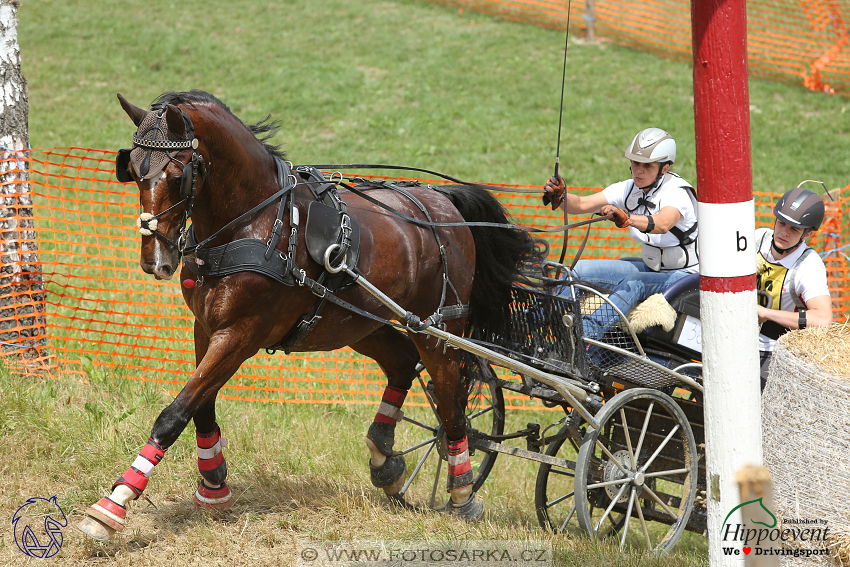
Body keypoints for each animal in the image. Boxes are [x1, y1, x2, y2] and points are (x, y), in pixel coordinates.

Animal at [78, 91, 536, 544]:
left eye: (177, 177)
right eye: (133, 171)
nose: (154, 260)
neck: (253, 221)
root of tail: (443, 202)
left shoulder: (241, 335)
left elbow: (174, 413)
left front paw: (115, 502)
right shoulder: (206, 327)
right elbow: (201, 406)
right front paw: (214, 484)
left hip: (437, 328)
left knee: (451, 398)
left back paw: (461, 492)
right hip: (360, 323)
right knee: (404, 364)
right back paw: (384, 457)